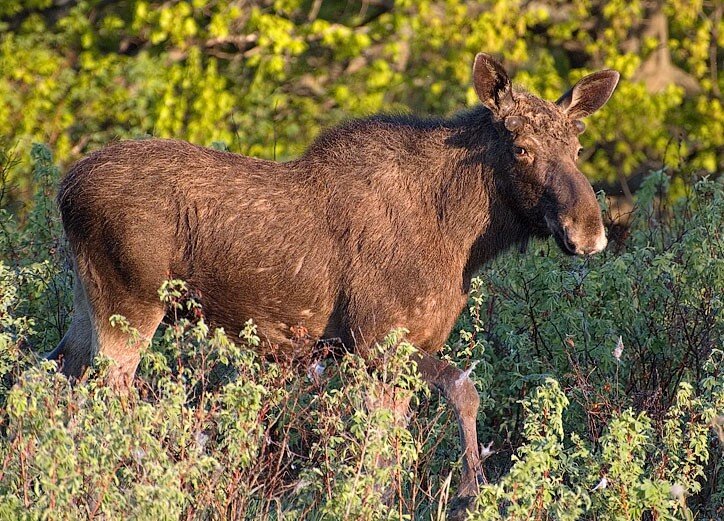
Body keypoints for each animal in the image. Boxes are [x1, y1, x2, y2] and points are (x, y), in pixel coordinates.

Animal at [51, 53, 620, 512]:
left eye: (578, 147)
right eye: (521, 147)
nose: (589, 232)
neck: (463, 241)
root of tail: (64, 189)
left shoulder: (385, 352)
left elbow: (385, 457)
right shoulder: (375, 340)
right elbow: (463, 388)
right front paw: (467, 493)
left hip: (87, 303)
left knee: (54, 377)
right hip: (129, 305)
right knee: (104, 400)